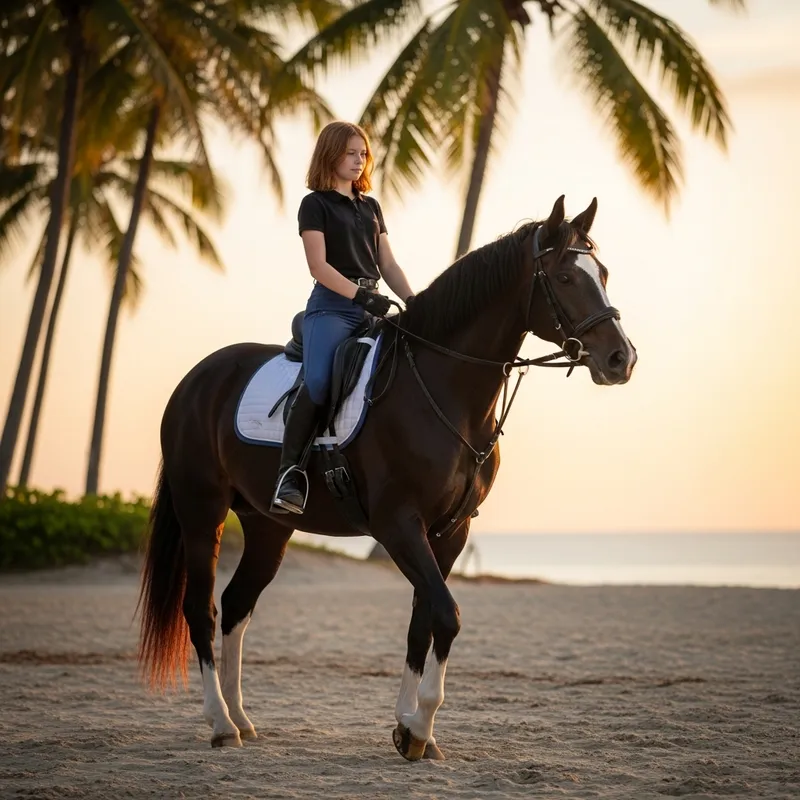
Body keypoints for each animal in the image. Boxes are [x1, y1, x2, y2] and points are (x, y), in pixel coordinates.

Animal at [136, 195, 637, 759]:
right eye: (567, 277)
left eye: (603, 273)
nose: (622, 358)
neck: (444, 390)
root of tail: (196, 380)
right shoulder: (398, 525)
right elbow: (447, 615)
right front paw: (417, 729)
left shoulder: (450, 532)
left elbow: (424, 623)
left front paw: (411, 729)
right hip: (203, 514)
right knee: (200, 609)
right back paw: (221, 724)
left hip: (268, 525)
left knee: (237, 603)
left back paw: (242, 719)